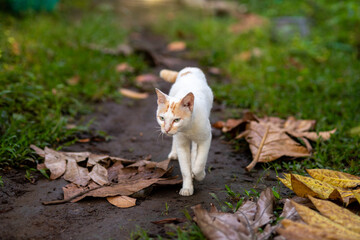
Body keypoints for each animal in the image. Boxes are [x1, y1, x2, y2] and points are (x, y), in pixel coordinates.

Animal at [155, 66, 212, 196]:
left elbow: (200, 162)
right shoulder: (181, 144)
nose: (166, 129)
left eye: (176, 120)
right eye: (162, 118)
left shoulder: (206, 138)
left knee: (196, 149)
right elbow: (185, 169)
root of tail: (189, 69)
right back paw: (174, 153)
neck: (187, 129)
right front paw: (187, 188)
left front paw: (199, 174)